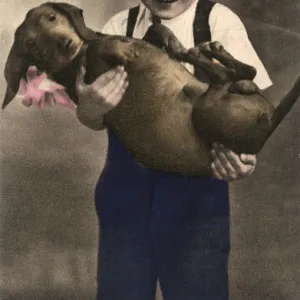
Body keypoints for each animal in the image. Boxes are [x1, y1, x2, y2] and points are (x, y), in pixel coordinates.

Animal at [2, 2, 300, 176]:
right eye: (31, 45)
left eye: (52, 17)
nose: (65, 45)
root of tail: (268, 124)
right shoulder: (93, 66)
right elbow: (104, 49)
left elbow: (156, 31)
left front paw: (175, 47)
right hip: (206, 109)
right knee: (228, 78)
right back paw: (209, 57)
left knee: (246, 73)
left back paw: (208, 53)